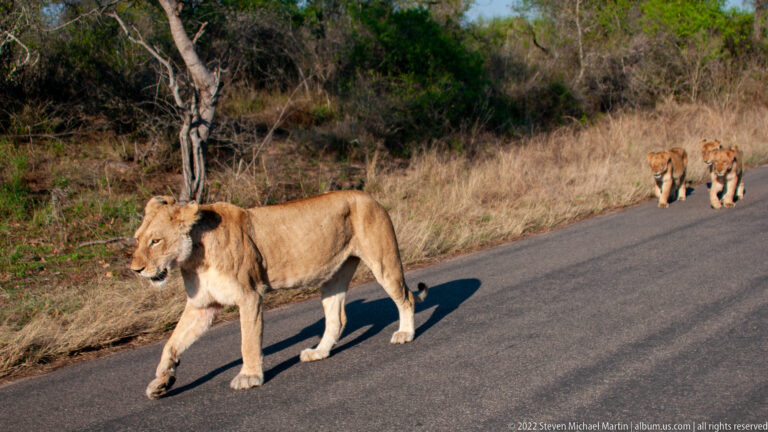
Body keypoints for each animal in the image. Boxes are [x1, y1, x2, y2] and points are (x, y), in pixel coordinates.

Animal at [130, 191, 428, 399]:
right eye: (137, 239)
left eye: (155, 241)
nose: (135, 270)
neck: (194, 258)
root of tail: (371, 197)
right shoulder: (203, 306)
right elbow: (172, 343)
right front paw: (161, 382)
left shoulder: (249, 295)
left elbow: (248, 341)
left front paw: (249, 377)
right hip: (333, 276)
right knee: (337, 319)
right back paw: (318, 353)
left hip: (383, 261)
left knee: (405, 297)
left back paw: (405, 333)